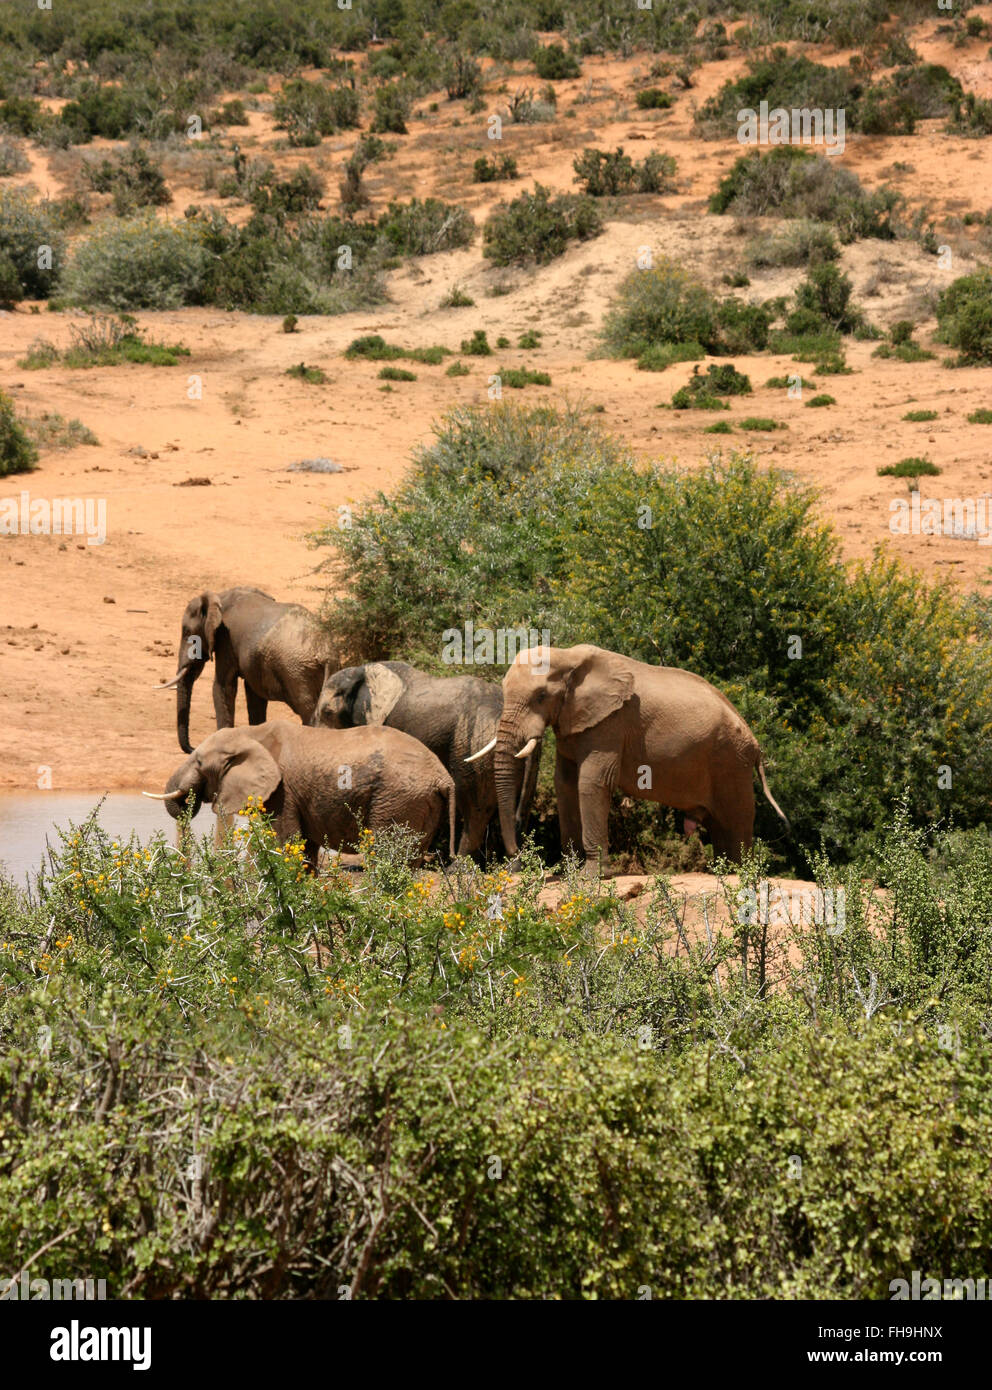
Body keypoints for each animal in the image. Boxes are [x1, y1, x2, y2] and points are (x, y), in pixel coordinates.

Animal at [145, 722, 452, 861]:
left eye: (198, 761)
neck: (251, 733)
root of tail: (444, 778)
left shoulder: (284, 793)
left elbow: (286, 843)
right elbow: (304, 847)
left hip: (398, 800)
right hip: (418, 802)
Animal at [152, 589, 334, 761]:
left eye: (187, 632)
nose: (192, 748)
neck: (219, 596)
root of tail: (324, 652)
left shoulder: (226, 639)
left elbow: (223, 687)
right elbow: (254, 696)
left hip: (297, 671)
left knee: (307, 711)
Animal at [477, 642, 789, 867]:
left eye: (540, 697)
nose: (516, 855)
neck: (568, 656)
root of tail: (755, 743)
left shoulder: (611, 723)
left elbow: (592, 783)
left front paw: (593, 875)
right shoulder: (573, 721)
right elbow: (564, 784)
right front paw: (570, 872)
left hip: (731, 762)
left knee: (735, 820)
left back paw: (740, 872)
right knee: (721, 825)